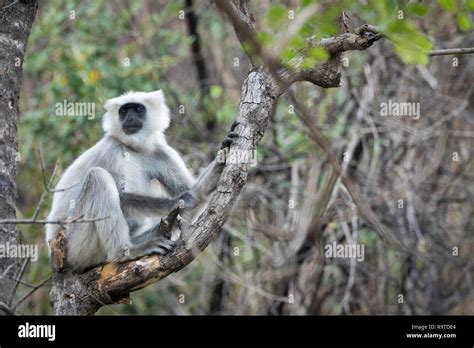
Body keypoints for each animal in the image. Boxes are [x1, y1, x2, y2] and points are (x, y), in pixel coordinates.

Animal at [46, 89, 235, 272]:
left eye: (137, 109)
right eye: (123, 112)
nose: (129, 118)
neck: (133, 148)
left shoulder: (159, 151)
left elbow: (197, 194)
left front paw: (221, 160)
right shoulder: (111, 148)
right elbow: (122, 198)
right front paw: (176, 201)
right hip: (76, 246)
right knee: (98, 177)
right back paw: (125, 252)